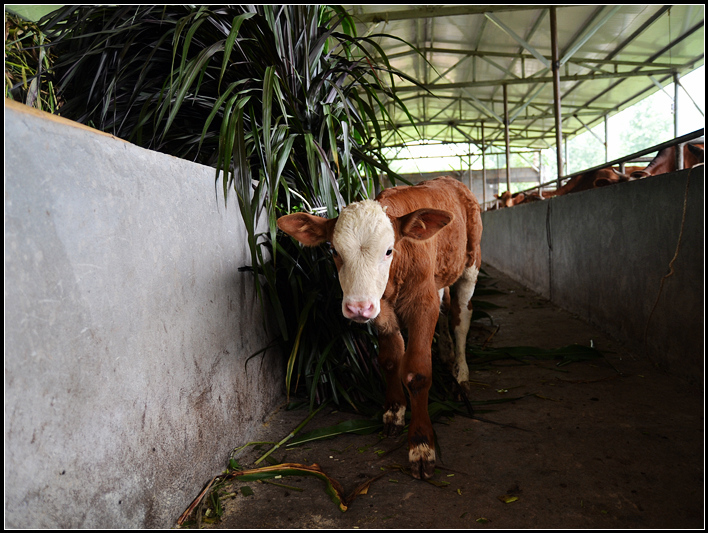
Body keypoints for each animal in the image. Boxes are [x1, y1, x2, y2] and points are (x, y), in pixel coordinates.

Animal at [276, 177, 482, 480]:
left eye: (388, 250)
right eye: (334, 251)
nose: (357, 307)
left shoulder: (423, 304)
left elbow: (418, 372)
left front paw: (421, 445)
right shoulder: (381, 308)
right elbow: (389, 360)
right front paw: (394, 411)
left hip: (471, 262)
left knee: (461, 318)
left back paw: (462, 376)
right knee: (445, 306)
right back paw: (445, 354)